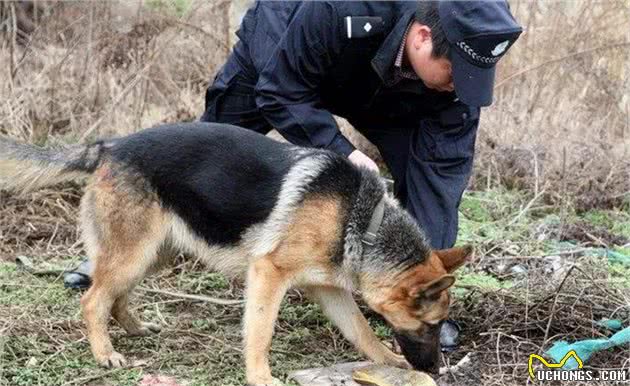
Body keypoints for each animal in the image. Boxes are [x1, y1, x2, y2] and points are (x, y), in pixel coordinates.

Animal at [0, 123, 472, 382]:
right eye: (431, 325)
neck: (362, 219)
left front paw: (388, 360)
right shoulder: (268, 274)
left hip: (154, 254)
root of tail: (110, 145)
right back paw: (105, 354)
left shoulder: (330, 290)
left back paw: (134, 329)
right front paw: (260, 377)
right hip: (134, 254)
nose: (433, 369)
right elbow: (260, 332)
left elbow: (361, 331)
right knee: (93, 299)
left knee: (115, 296)